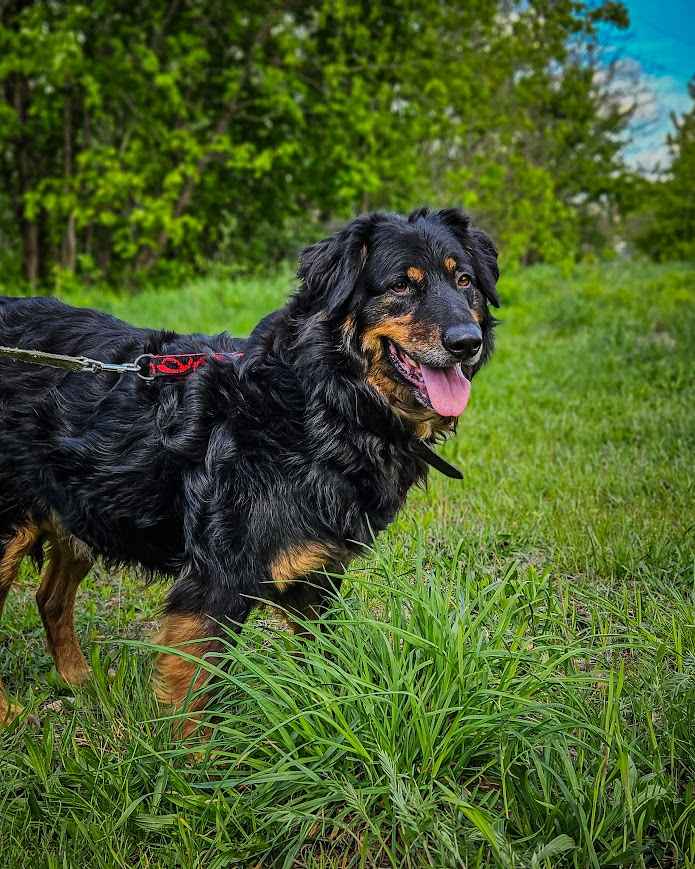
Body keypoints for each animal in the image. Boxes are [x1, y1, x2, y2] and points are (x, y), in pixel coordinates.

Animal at [0, 207, 500, 728]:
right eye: (401, 285)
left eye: (465, 281)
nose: (467, 342)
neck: (317, 399)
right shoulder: (216, 582)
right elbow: (193, 705)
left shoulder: (314, 576)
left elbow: (325, 667)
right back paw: (11, 713)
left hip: (80, 509)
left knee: (50, 599)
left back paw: (81, 682)